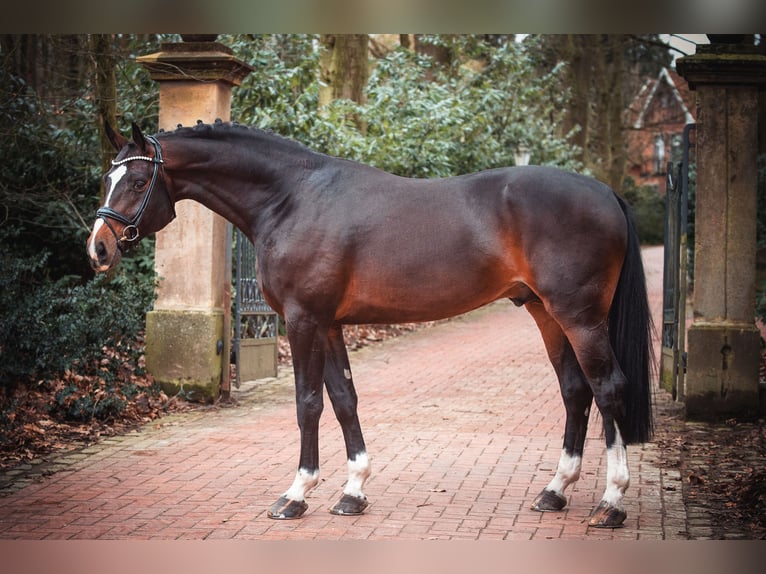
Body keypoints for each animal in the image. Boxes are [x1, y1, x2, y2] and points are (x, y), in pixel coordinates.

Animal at [86, 121, 653, 529]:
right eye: (106, 179)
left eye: (137, 180)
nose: (98, 248)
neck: (290, 198)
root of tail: (605, 191)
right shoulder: (330, 324)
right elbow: (343, 399)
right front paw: (353, 491)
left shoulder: (303, 320)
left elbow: (308, 403)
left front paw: (296, 494)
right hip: (545, 313)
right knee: (575, 390)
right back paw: (555, 492)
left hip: (579, 317)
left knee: (607, 388)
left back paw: (611, 503)